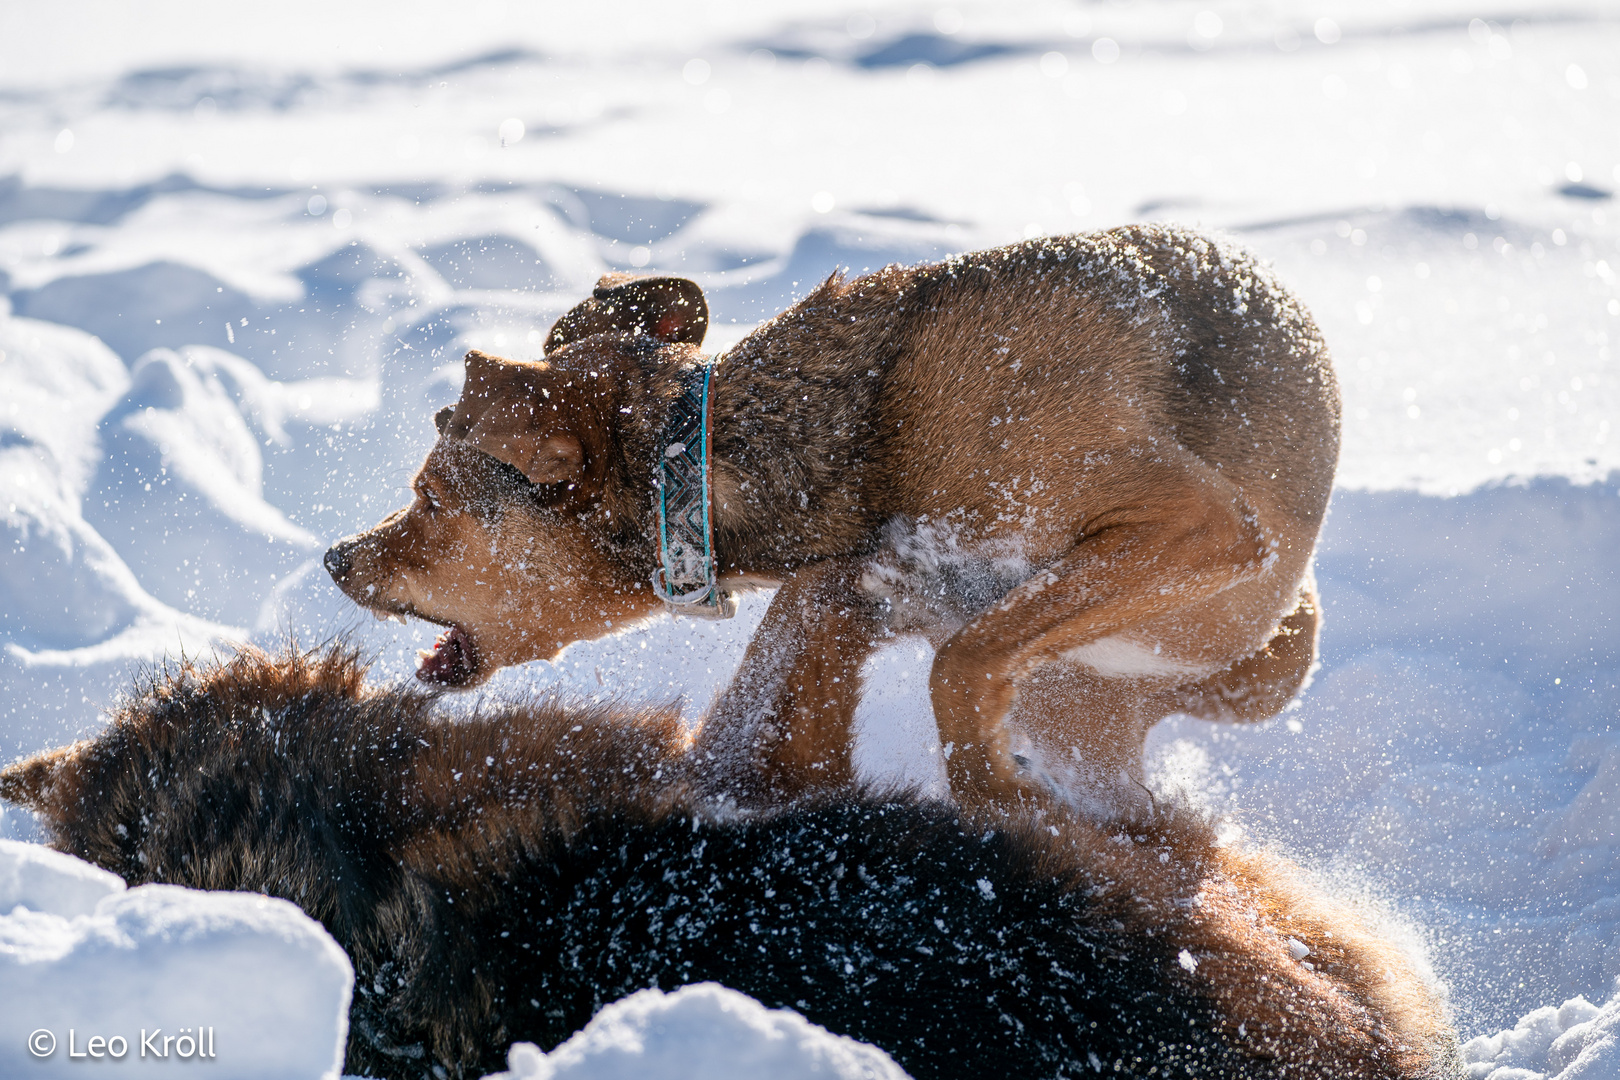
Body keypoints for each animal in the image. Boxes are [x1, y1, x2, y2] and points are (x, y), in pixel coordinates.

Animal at [322, 223, 1334, 806]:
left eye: (428, 498)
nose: (334, 556)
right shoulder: (849, 583)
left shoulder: (1202, 524)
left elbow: (964, 661)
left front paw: (998, 799)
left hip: (1259, 655)